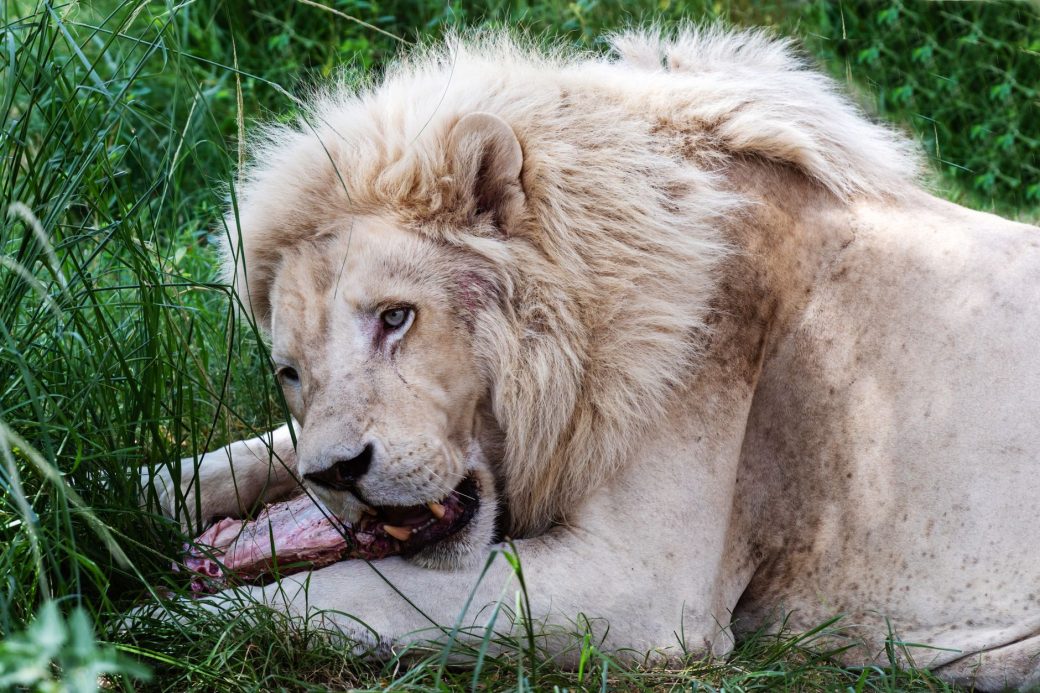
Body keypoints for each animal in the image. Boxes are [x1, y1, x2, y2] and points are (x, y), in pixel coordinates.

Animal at [146, 27, 1040, 689]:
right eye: (290, 372)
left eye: (396, 317)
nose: (336, 471)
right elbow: (234, 463)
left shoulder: (643, 586)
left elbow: (366, 590)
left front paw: (162, 621)